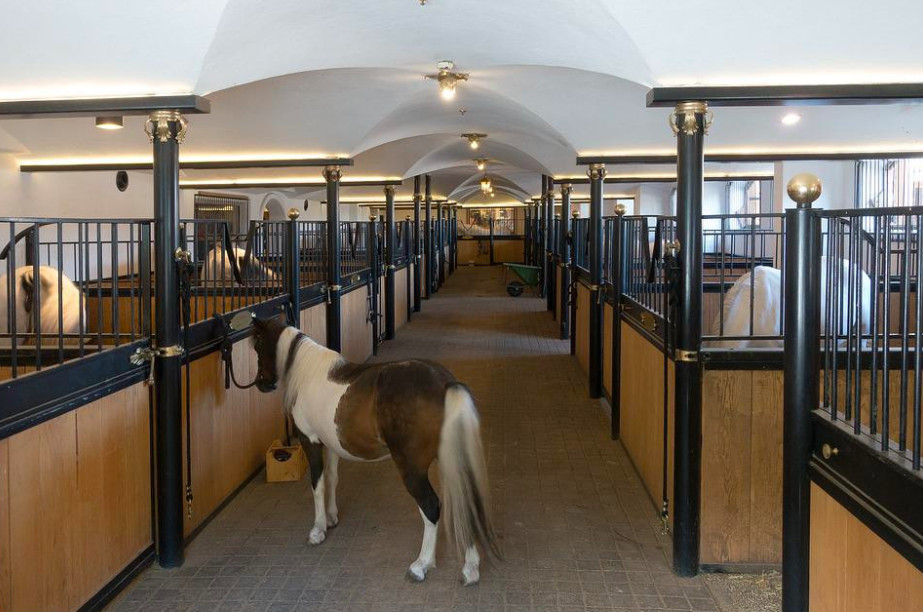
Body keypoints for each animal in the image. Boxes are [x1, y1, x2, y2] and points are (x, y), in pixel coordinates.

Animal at [251, 316, 498, 584]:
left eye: (257, 346)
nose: (261, 383)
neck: (306, 374)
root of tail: (445, 383)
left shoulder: (311, 441)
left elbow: (318, 484)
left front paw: (318, 530)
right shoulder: (331, 445)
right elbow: (332, 479)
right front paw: (332, 517)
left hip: (411, 468)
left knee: (431, 506)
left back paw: (421, 565)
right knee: (467, 499)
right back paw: (470, 568)